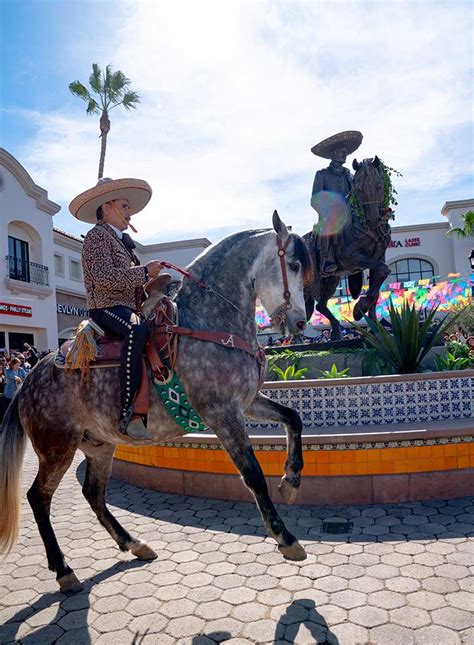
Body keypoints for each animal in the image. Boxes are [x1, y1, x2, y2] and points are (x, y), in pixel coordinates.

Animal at [1, 213, 312, 592]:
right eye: (293, 264)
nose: (299, 321)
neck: (208, 324)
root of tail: (29, 380)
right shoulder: (222, 413)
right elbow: (252, 473)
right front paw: (286, 538)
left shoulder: (247, 402)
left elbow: (293, 417)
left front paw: (291, 481)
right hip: (56, 448)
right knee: (39, 497)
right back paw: (64, 570)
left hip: (99, 444)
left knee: (93, 493)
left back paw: (134, 544)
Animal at [306, 157, 390, 338]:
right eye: (358, 188)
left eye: (379, 185)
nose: (374, 220)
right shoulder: (351, 257)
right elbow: (382, 270)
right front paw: (359, 309)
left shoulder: (379, 256)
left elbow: (380, 279)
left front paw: (375, 327)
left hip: (332, 279)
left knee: (320, 305)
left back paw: (336, 331)